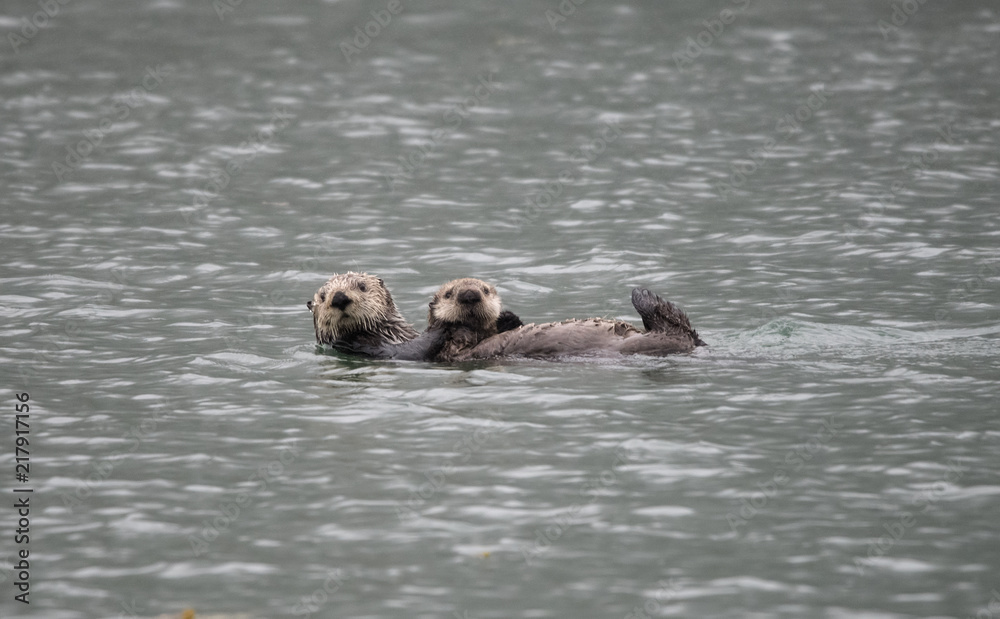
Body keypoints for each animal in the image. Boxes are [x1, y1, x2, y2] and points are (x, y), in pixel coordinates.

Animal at [306, 272, 522, 360]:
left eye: (362, 286)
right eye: (323, 296)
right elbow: (416, 349)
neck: (389, 334)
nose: (339, 298)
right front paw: (443, 324)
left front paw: (507, 318)